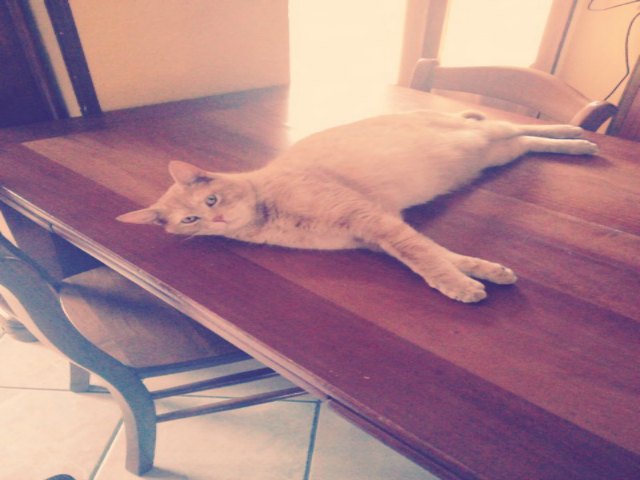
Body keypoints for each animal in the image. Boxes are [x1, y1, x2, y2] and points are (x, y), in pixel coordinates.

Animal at [117, 110, 597, 303]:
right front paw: (485, 274)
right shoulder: (376, 235)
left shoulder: (375, 221)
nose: (215, 217)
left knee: (521, 126)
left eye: (211, 199)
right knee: (528, 142)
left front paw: (459, 286)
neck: (271, 216)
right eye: (191, 219)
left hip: (486, 135)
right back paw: (575, 146)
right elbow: (438, 254)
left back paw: (579, 136)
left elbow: (425, 261)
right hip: (496, 153)